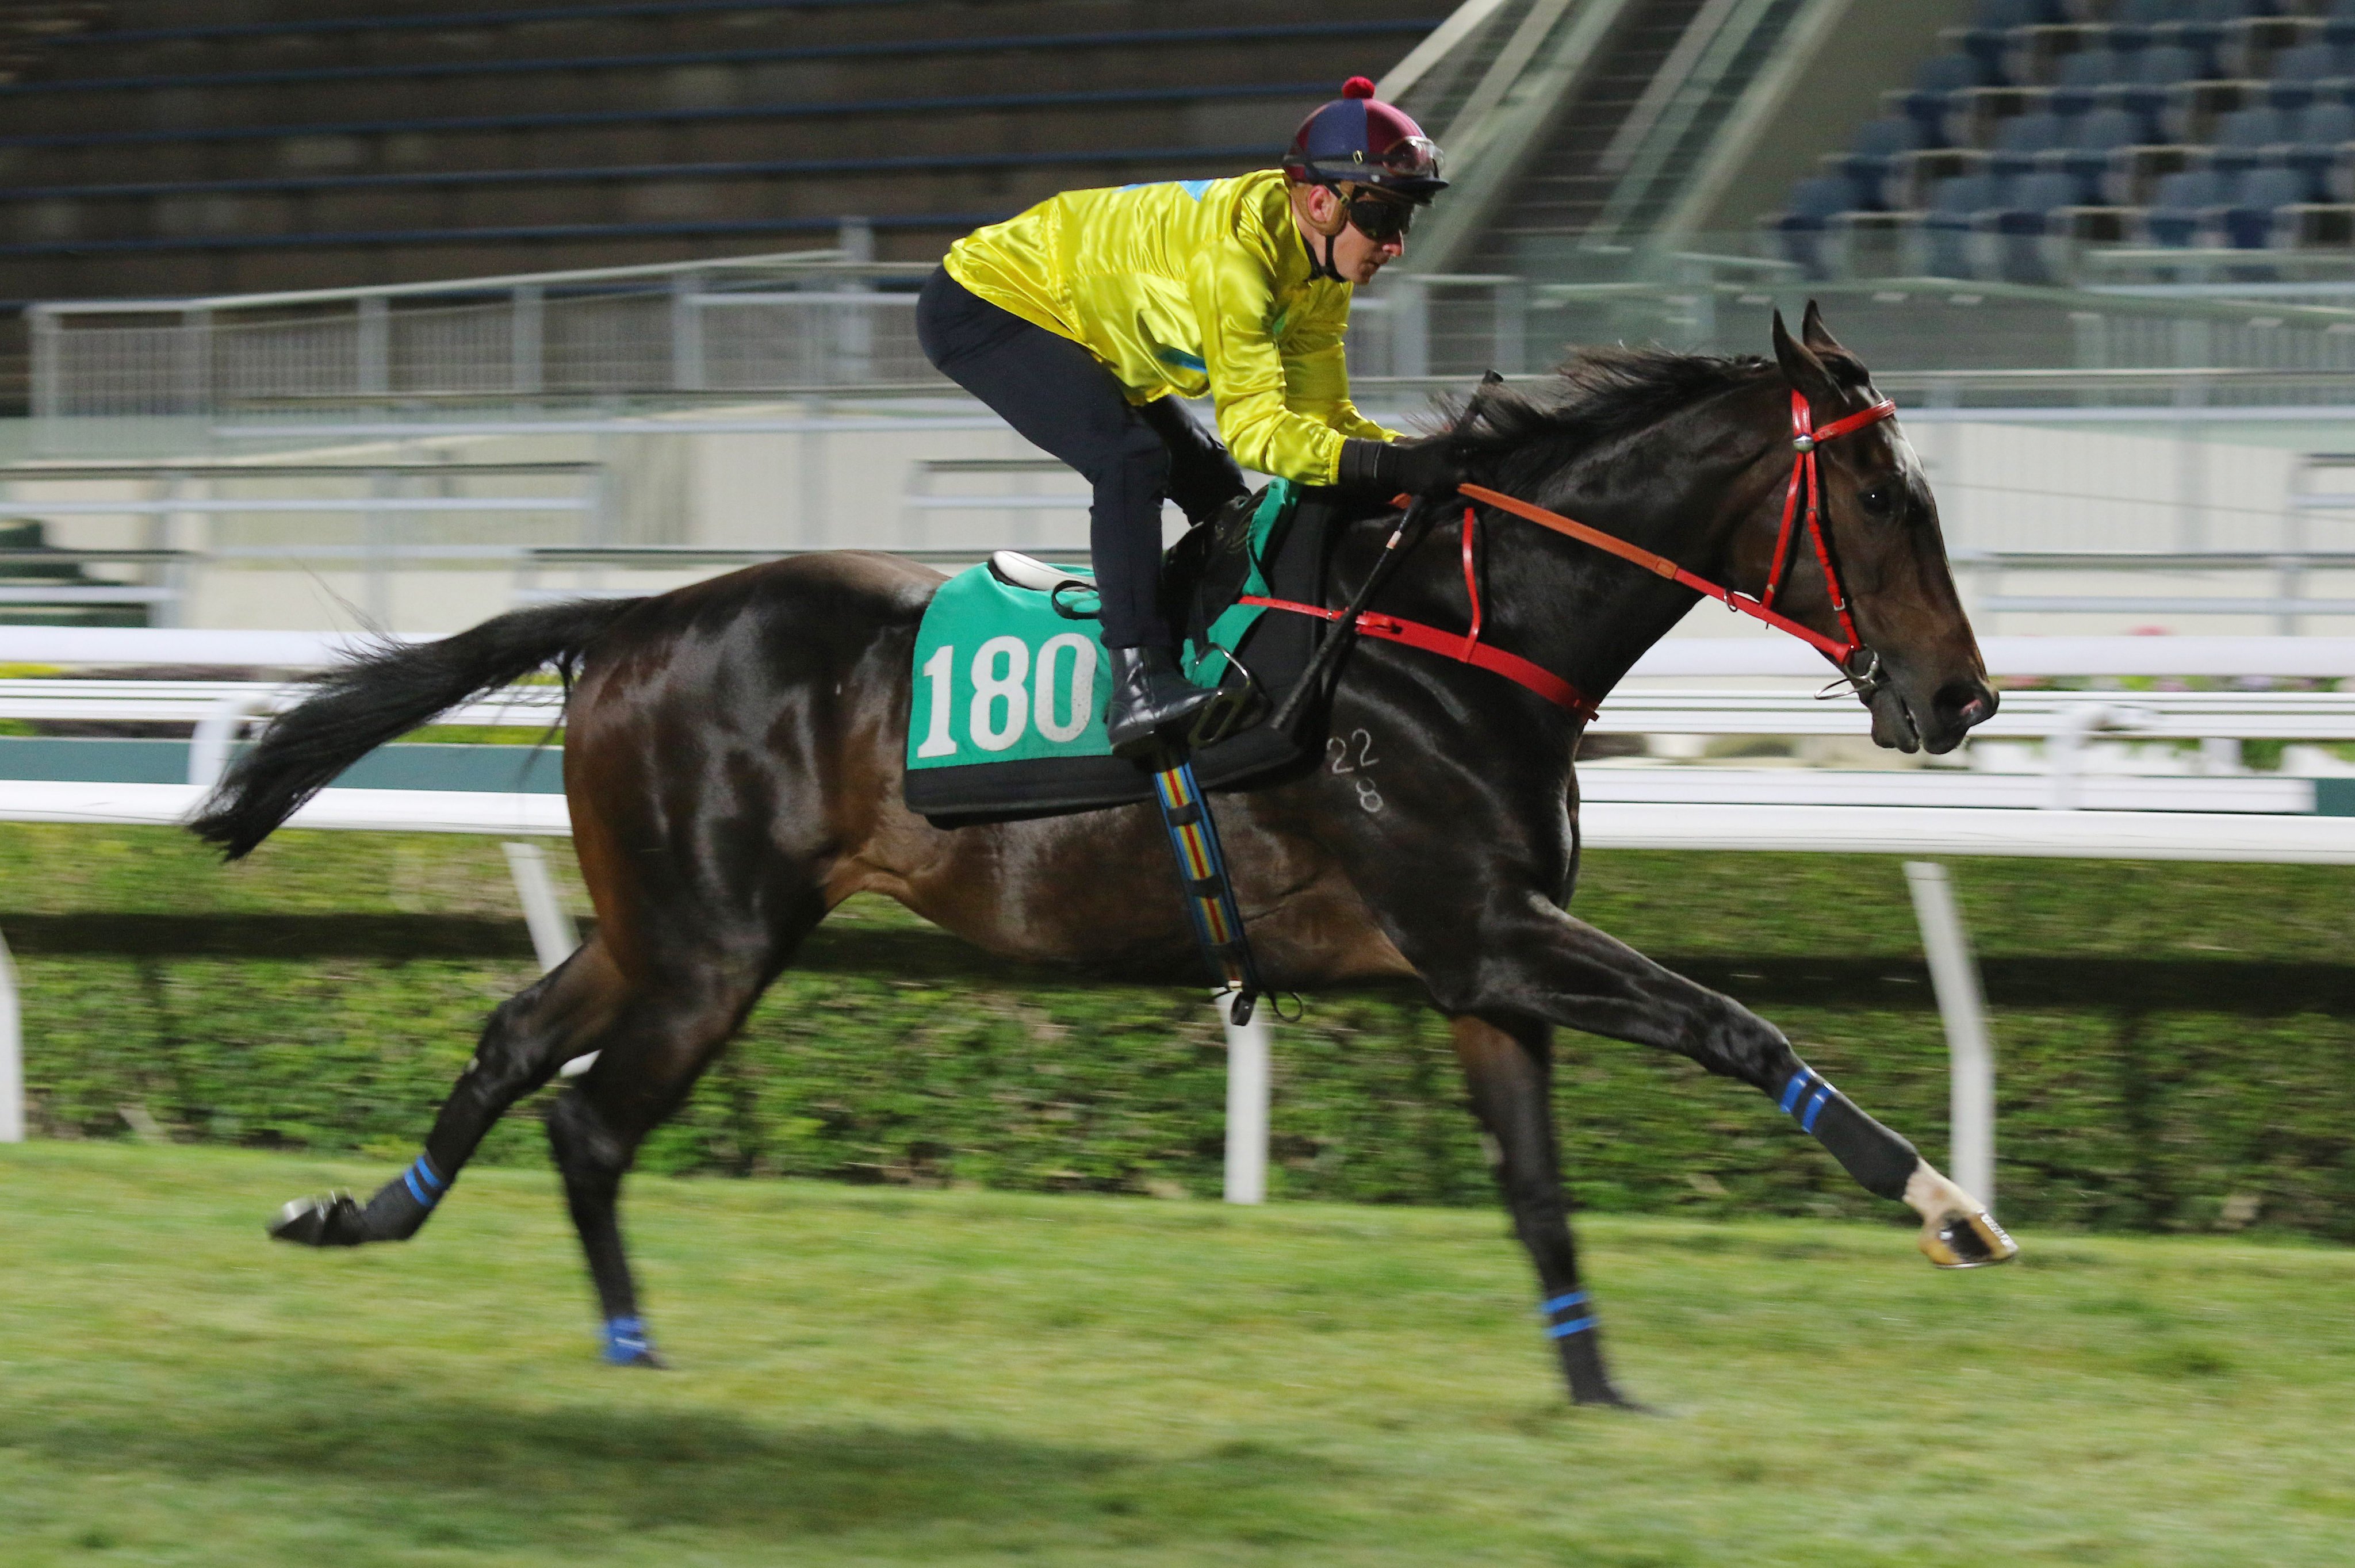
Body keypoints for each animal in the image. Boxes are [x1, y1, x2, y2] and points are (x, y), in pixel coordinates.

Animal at [193, 306, 2016, 1403]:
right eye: (1876, 493)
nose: (1960, 695)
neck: (1453, 629)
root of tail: (632, 616)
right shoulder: (1488, 928)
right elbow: (1736, 1024)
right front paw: (1948, 1208)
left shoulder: (1479, 970)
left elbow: (1538, 1190)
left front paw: (1597, 1388)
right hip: (713, 944)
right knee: (587, 1118)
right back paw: (633, 1355)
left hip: (665, 920)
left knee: (513, 1037)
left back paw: (352, 1215)